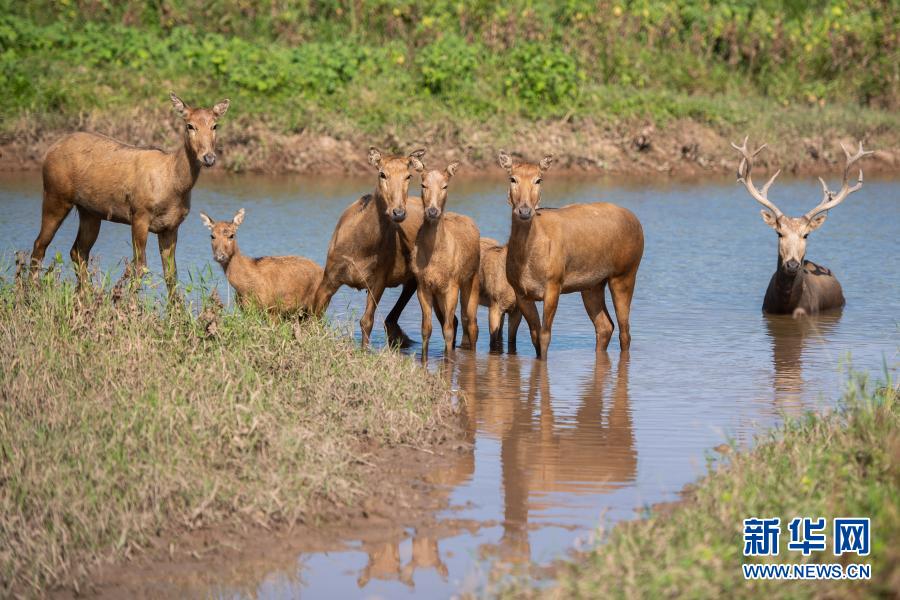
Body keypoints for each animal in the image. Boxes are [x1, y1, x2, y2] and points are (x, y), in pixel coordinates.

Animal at [31, 91, 229, 292]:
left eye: (215, 125)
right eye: (190, 125)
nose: (209, 157)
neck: (174, 185)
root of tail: (49, 150)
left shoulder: (171, 226)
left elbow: (171, 274)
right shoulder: (139, 214)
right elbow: (140, 267)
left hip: (90, 212)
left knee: (78, 251)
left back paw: (85, 293)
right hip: (55, 195)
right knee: (39, 245)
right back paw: (32, 289)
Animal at [312, 148, 454, 350]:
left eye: (408, 175)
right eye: (382, 174)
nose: (398, 212)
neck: (361, 247)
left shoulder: (378, 280)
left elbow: (366, 321)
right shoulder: (329, 277)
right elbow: (315, 315)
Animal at [406, 159, 482, 356]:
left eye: (445, 185)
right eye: (423, 184)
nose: (432, 211)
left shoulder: (452, 285)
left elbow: (448, 330)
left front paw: (448, 360)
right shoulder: (423, 286)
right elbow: (426, 329)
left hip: (471, 280)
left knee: (471, 323)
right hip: (438, 293)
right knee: (454, 321)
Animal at [500, 151, 648, 356]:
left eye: (539, 179)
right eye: (512, 178)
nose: (524, 210)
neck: (527, 261)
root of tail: (638, 224)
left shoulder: (554, 283)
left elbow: (545, 336)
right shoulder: (520, 292)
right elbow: (535, 337)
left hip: (625, 273)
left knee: (625, 331)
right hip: (592, 285)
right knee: (605, 326)